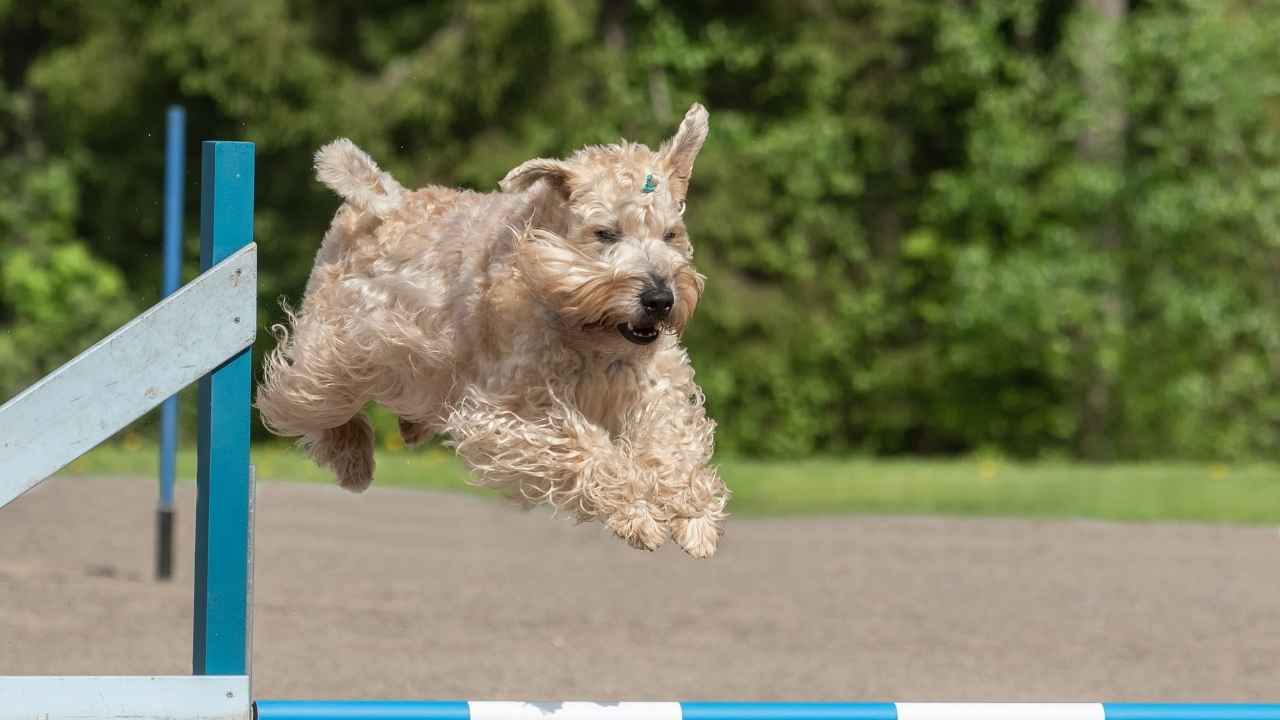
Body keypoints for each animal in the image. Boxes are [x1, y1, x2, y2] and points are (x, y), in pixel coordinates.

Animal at [254, 103, 732, 558]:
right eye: (604, 232)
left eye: (671, 234)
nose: (660, 299)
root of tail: (385, 201)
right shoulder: (513, 408)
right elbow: (584, 449)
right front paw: (638, 512)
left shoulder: (649, 383)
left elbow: (672, 438)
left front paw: (694, 514)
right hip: (341, 344)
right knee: (308, 397)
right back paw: (353, 458)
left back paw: (410, 428)